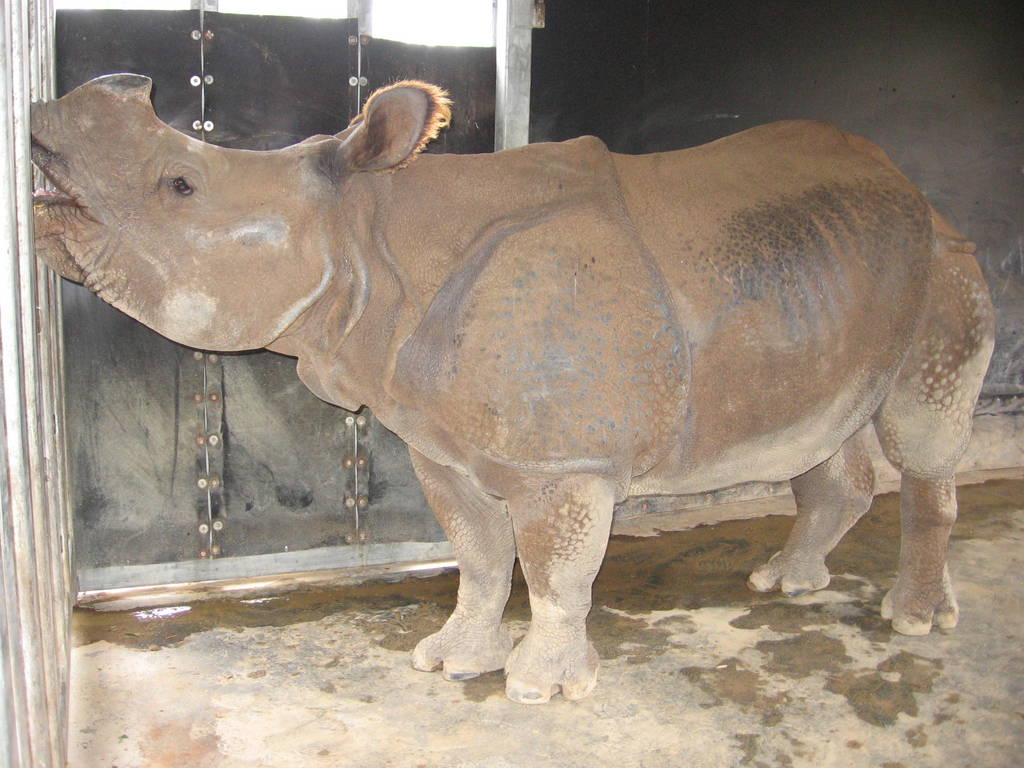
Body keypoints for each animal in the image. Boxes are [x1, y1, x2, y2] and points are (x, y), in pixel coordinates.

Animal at [32, 74, 994, 704]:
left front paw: (541, 689)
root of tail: (916, 190)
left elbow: (555, 567)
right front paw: (449, 661)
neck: (369, 237)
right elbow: (481, 556)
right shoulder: (436, 442)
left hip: (944, 268)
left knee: (921, 437)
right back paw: (786, 584)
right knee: (823, 435)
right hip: (830, 274)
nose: (39, 136)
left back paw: (913, 621)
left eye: (180, 184)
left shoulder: (564, 461)